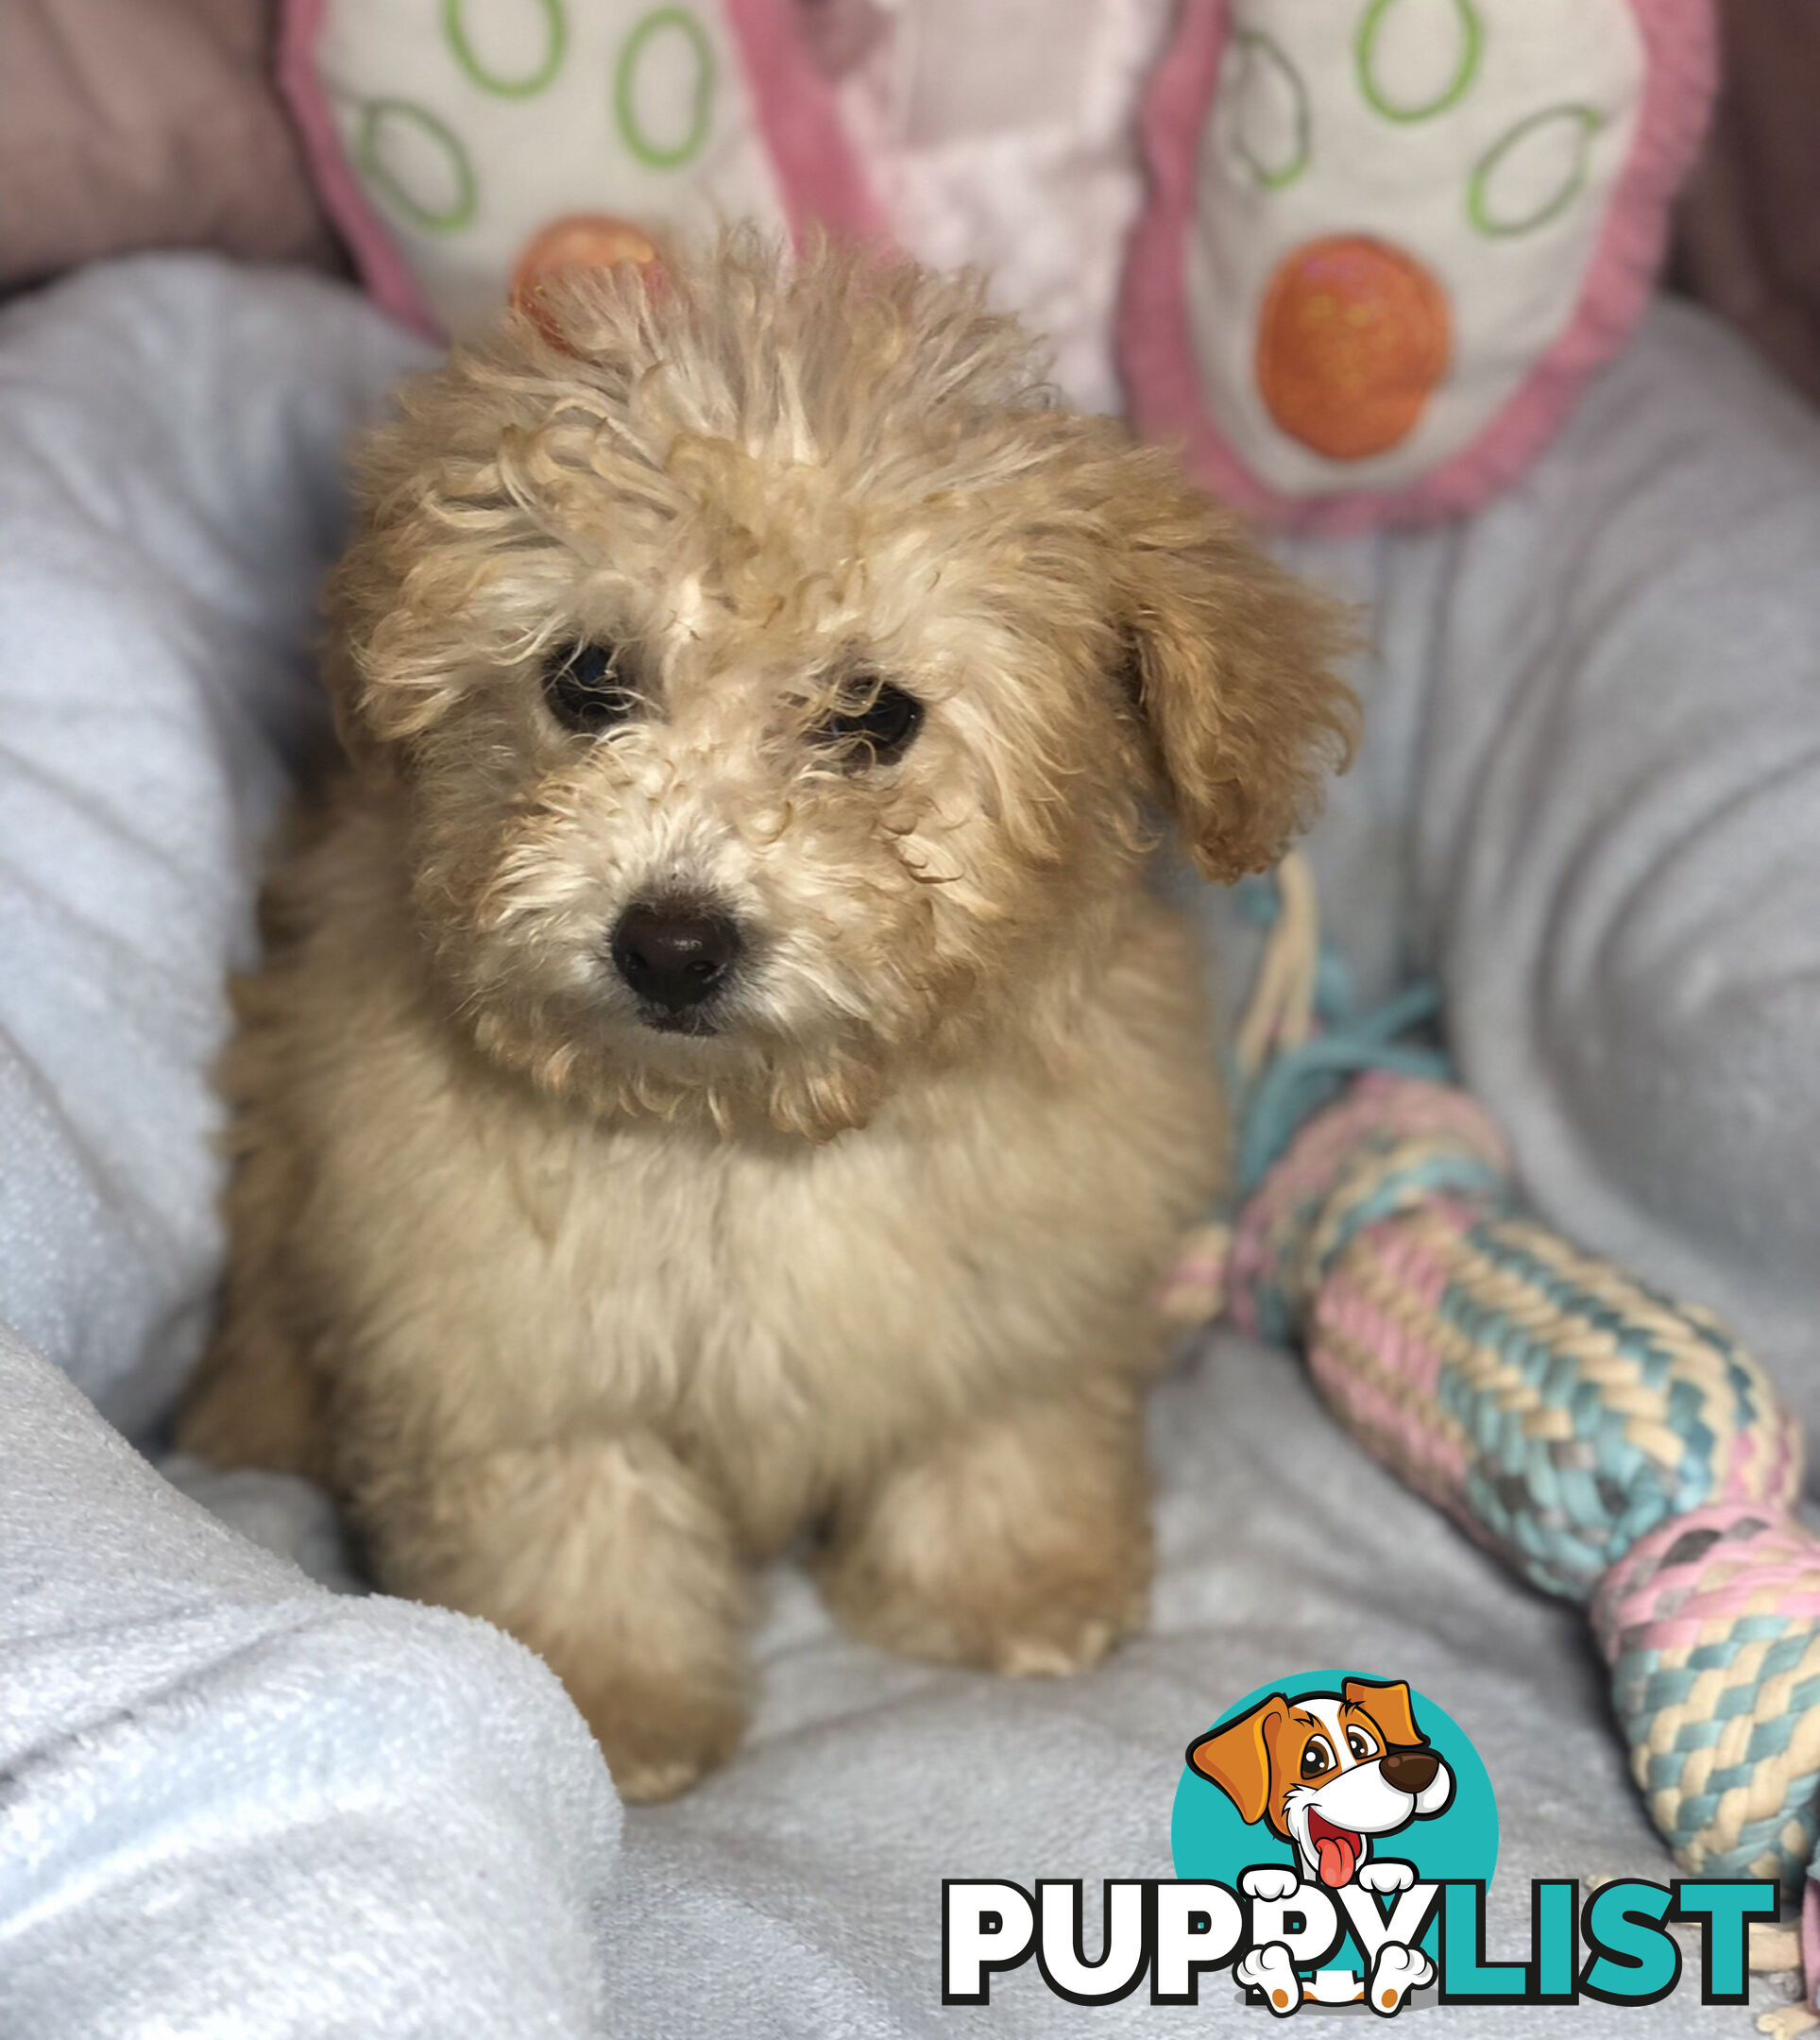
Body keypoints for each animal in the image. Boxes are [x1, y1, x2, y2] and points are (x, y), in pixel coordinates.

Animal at [181, 234, 1354, 1803]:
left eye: (870, 714)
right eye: (585, 678)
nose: (670, 943)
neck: (742, 1133)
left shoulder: (1019, 1297)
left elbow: (1000, 1434)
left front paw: (1008, 1591)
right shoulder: (501, 1340)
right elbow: (576, 1519)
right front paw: (608, 1708)